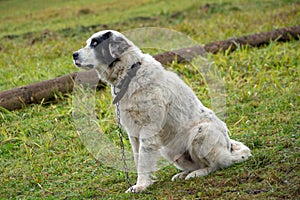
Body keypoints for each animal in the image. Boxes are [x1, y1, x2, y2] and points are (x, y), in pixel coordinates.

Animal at [72, 30, 251, 193]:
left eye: (95, 43)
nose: (74, 55)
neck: (129, 74)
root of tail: (229, 147)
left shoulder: (148, 129)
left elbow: (143, 160)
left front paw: (141, 185)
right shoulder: (133, 132)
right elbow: (138, 158)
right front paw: (141, 183)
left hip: (202, 132)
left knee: (219, 163)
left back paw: (198, 173)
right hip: (169, 149)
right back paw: (184, 174)